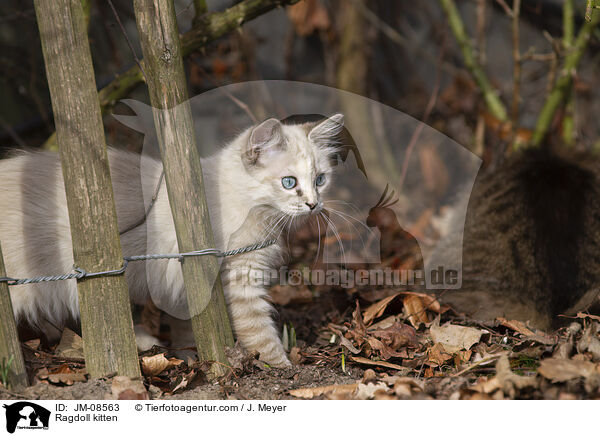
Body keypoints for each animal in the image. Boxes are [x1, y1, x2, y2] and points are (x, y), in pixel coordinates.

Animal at [0, 114, 344, 366]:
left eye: (320, 180)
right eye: (289, 183)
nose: (314, 204)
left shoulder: (185, 284)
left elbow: (187, 327)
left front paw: (189, 355)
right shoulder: (239, 277)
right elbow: (260, 332)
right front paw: (284, 369)